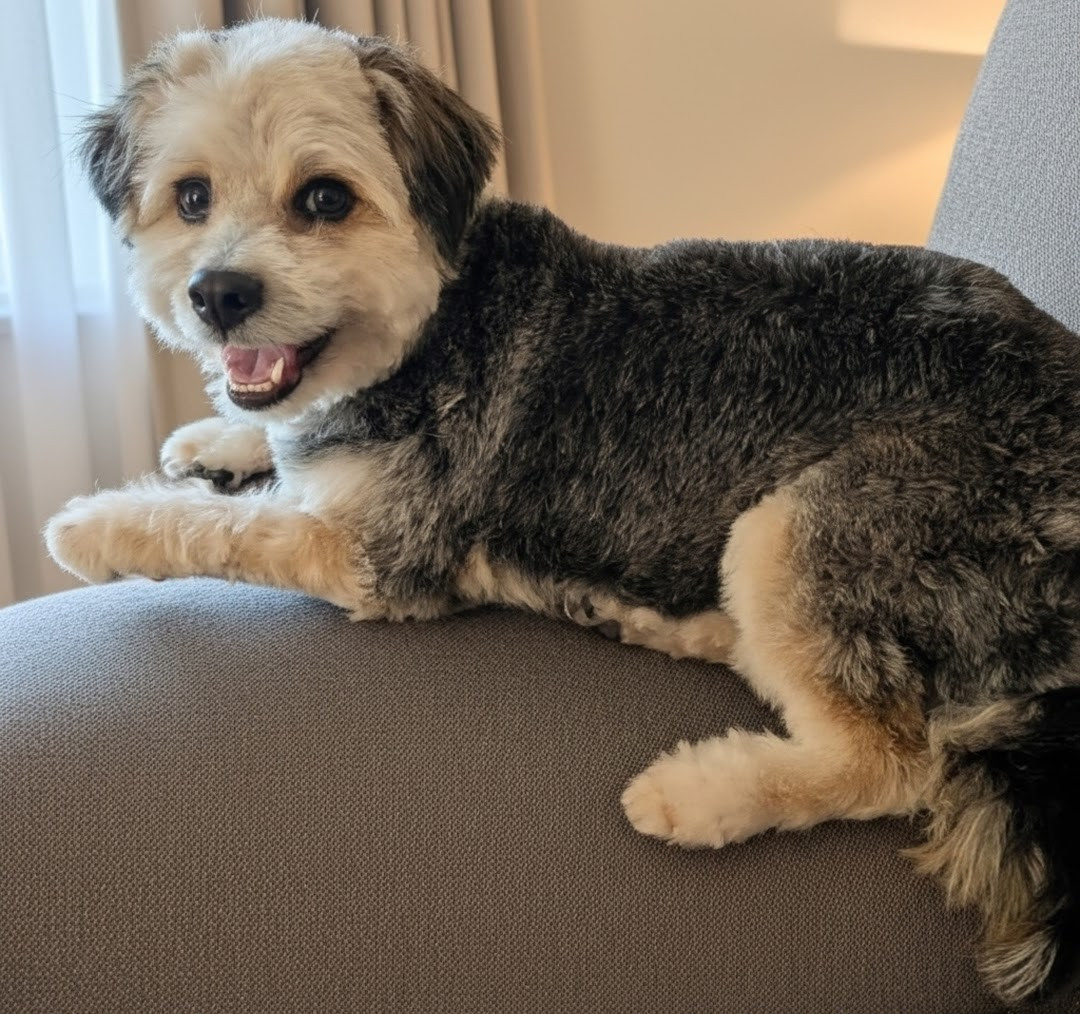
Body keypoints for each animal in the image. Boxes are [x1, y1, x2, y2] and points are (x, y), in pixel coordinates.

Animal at [44, 18, 1080, 1004]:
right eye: (191, 197)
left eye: (325, 199)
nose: (219, 294)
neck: (433, 320)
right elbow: (268, 454)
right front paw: (216, 439)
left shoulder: (379, 553)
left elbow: (224, 526)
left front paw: (96, 526)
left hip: (816, 523)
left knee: (890, 759)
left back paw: (698, 794)